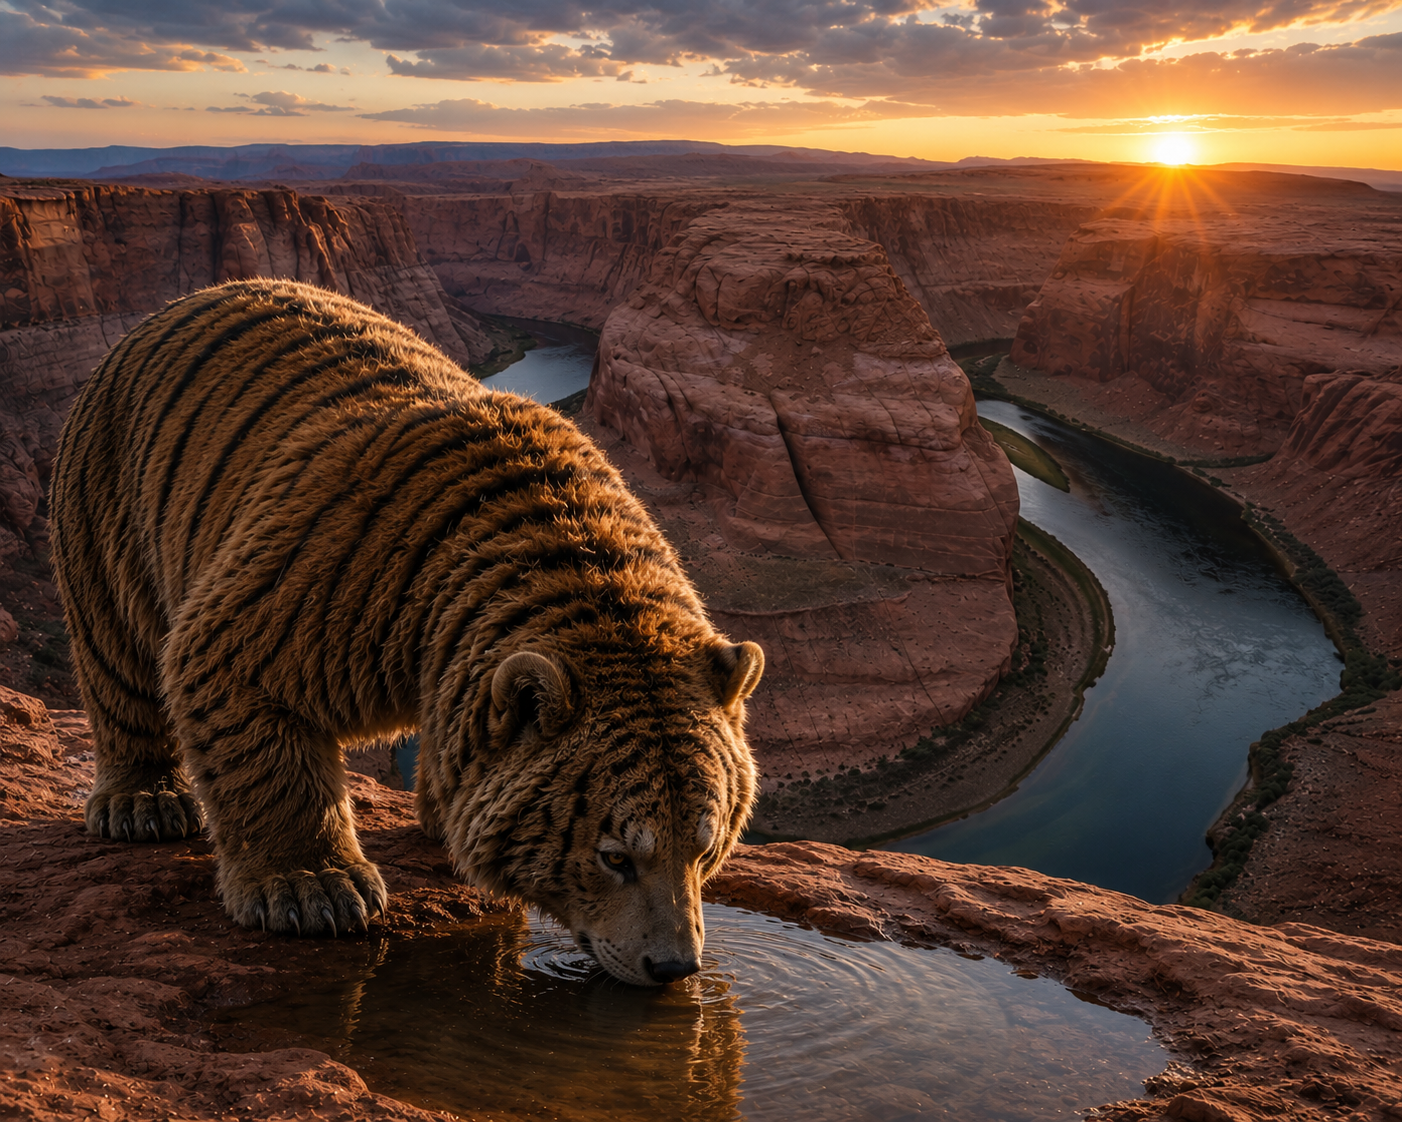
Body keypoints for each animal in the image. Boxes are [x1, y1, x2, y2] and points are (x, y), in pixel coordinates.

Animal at [49, 278, 763, 986]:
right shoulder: (298, 601)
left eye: (706, 847)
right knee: (119, 659)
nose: (675, 966)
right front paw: (313, 886)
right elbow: (258, 739)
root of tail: (176, 305)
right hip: (110, 517)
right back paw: (144, 802)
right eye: (616, 856)